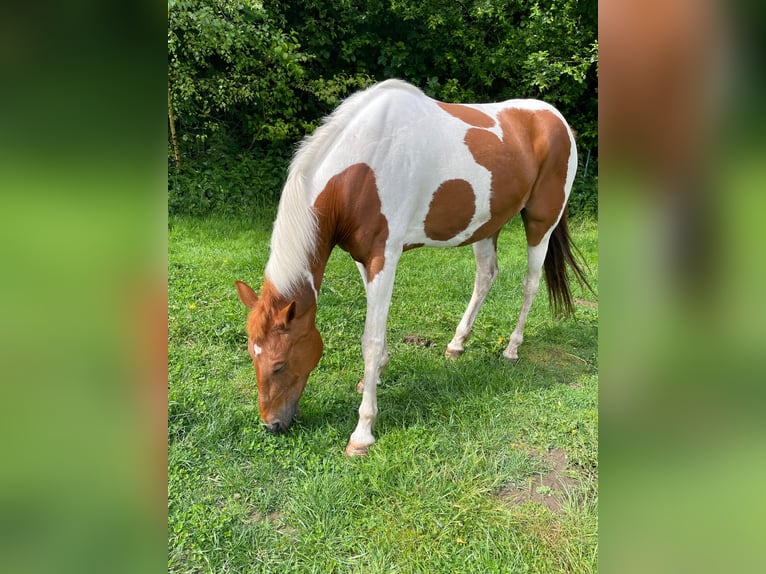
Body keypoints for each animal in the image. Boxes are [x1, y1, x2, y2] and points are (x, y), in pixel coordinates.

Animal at [236, 79, 589, 456]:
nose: (272, 424)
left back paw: (511, 349)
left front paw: (362, 433)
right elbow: (380, 326)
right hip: (486, 225)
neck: (361, 169)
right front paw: (376, 375)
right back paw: (457, 344)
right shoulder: (365, 259)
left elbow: (371, 338)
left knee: (530, 284)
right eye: (252, 355)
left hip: (541, 221)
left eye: (280, 364)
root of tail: (559, 121)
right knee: (486, 276)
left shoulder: (384, 256)